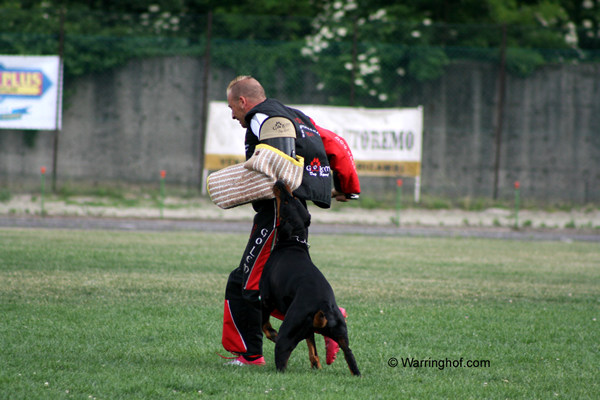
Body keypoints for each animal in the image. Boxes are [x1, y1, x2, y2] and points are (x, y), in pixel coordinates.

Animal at [258, 180, 360, 376]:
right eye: (295, 198)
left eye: (288, 201)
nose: (280, 182)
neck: (294, 241)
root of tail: (324, 306)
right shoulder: (307, 331)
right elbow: (312, 348)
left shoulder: (265, 298)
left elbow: (264, 325)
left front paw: (272, 334)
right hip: (341, 336)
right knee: (349, 358)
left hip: (287, 334)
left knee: (281, 359)